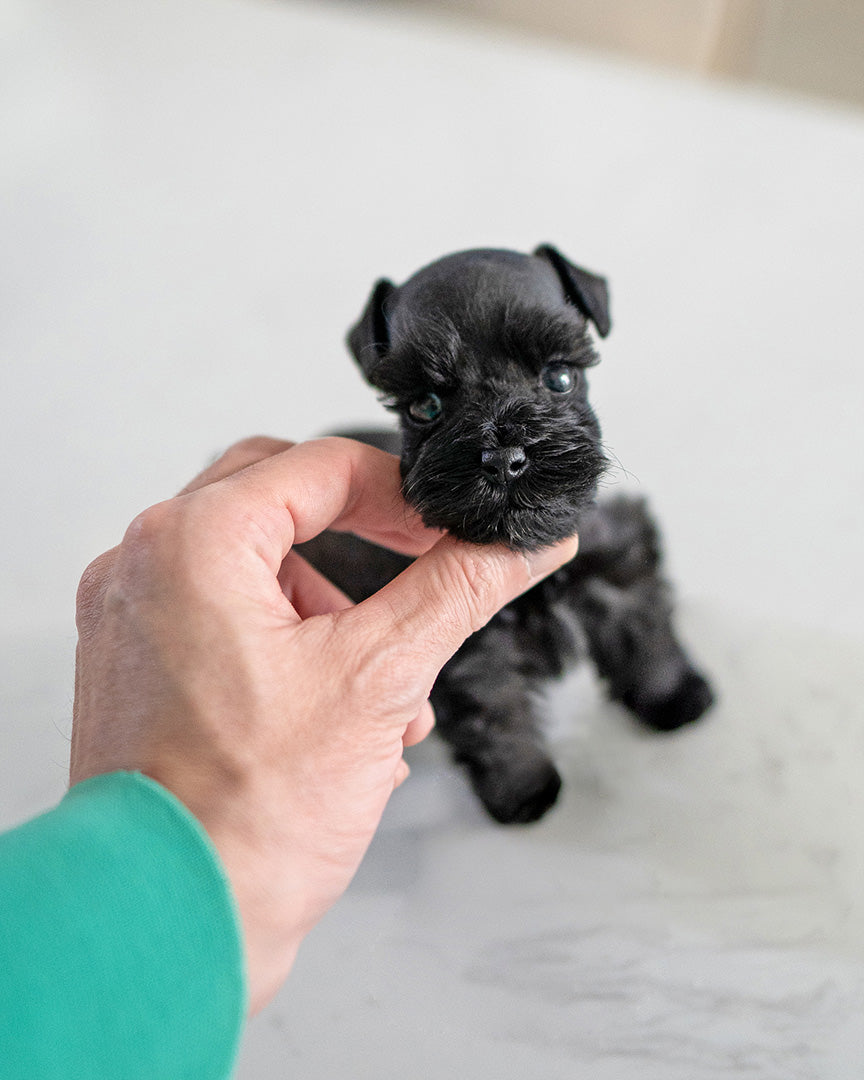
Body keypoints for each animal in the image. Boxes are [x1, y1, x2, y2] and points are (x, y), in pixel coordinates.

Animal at [300, 243, 712, 816]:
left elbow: (645, 631)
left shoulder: (618, 568)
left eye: (560, 378)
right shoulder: (475, 651)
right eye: (424, 406)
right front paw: (523, 789)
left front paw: (675, 696)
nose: (502, 458)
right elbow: (496, 716)